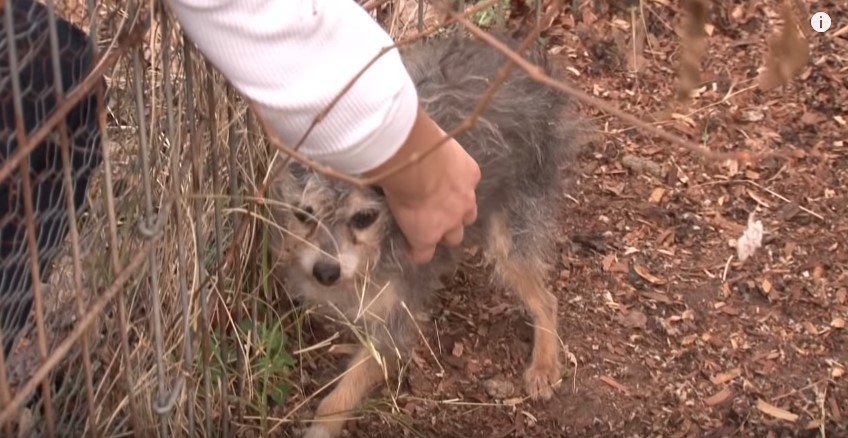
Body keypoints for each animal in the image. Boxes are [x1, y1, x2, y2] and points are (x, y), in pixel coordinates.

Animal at [270, 32, 576, 436]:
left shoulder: (395, 326)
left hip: (510, 235)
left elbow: (339, 398)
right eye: (304, 213)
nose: (326, 272)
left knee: (546, 300)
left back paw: (543, 364)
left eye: (365, 218)